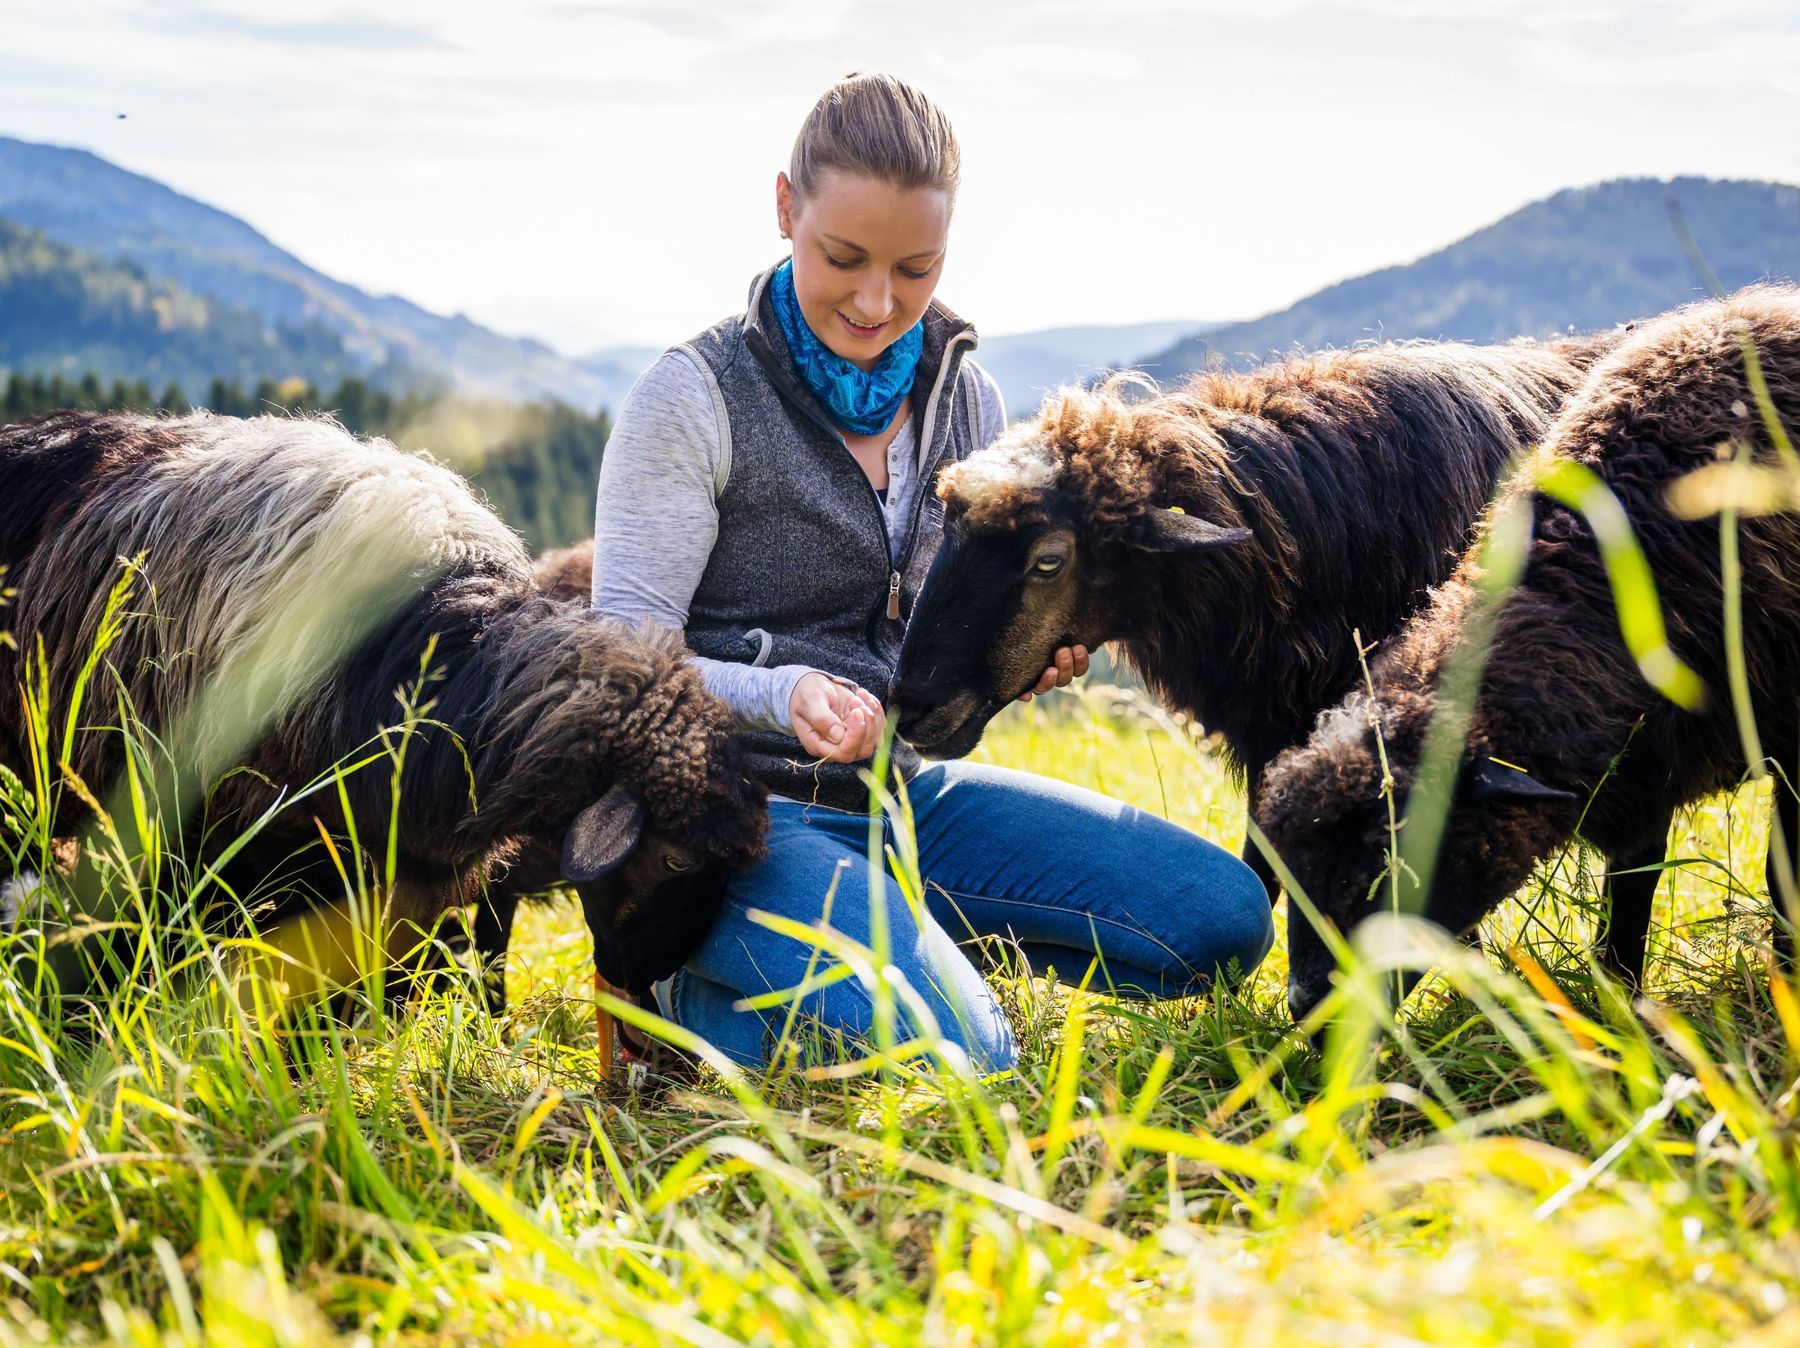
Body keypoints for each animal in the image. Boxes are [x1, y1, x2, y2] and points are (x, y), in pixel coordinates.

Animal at [1260, 286, 1800, 1022]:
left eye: (1384, 852)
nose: (1311, 1012)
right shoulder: (1643, 771)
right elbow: (1628, 901)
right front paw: (1621, 1011)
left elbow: (1779, 878)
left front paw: (1787, 987)